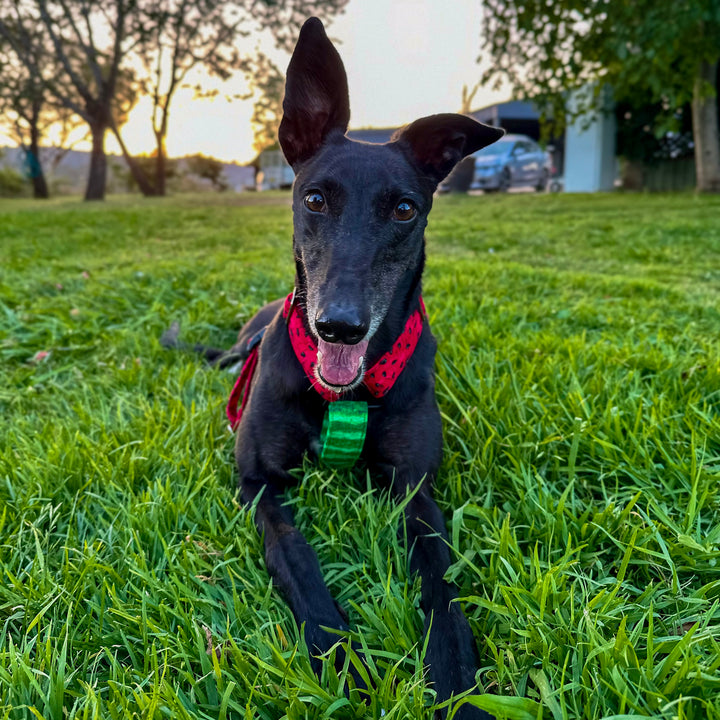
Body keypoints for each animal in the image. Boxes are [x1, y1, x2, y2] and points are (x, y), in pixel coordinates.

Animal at [168, 16, 504, 720]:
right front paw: (344, 665)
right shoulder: (260, 486)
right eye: (315, 198)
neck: (343, 392)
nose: (339, 325)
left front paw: (455, 683)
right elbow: (304, 574)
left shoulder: (414, 492)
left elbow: (444, 588)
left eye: (405, 209)